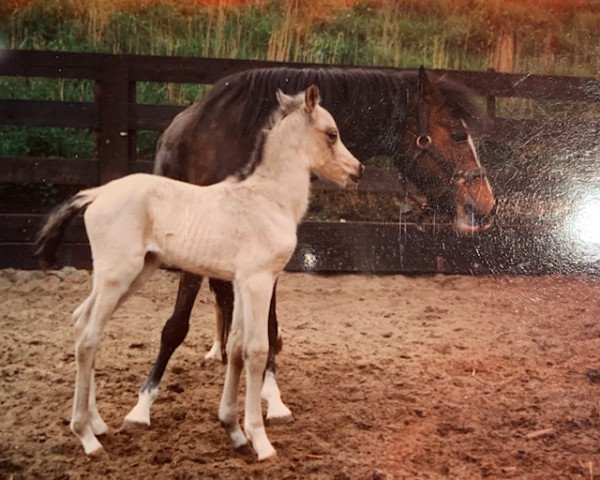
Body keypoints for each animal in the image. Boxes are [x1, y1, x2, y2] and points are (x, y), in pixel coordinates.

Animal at [35, 86, 364, 462]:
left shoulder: (240, 282)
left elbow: (235, 348)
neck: (268, 199)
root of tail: (98, 192)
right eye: (332, 134)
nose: (357, 170)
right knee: (89, 336)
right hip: (117, 275)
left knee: (81, 322)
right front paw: (260, 440)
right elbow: (256, 350)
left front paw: (233, 430)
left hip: (131, 275)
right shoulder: (258, 281)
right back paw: (87, 436)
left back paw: (98, 423)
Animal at [124, 66, 494, 428]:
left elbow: (267, 327)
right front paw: (142, 406)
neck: (235, 138)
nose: (487, 204)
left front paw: (271, 397)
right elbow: (175, 326)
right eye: (458, 135)